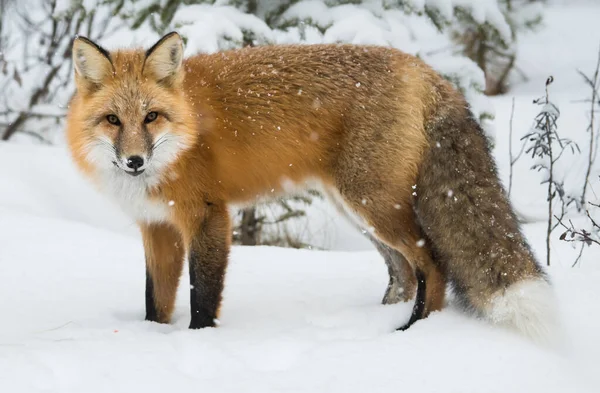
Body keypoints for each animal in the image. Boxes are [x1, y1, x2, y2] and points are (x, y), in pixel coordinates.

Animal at [65, 30, 556, 344]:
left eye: (152, 117)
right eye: (113, 120)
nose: (135, 161)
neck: (184, 135)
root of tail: (423, 68)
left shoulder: (208, 217)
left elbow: (203, 297)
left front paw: (198, 345)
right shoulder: (157, 227)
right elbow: (157, 302)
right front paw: (153, 339)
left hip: (372, 203)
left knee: (432, 263)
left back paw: (411, 333)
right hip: (356, 210)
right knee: (401, 272)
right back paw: (380, 322)